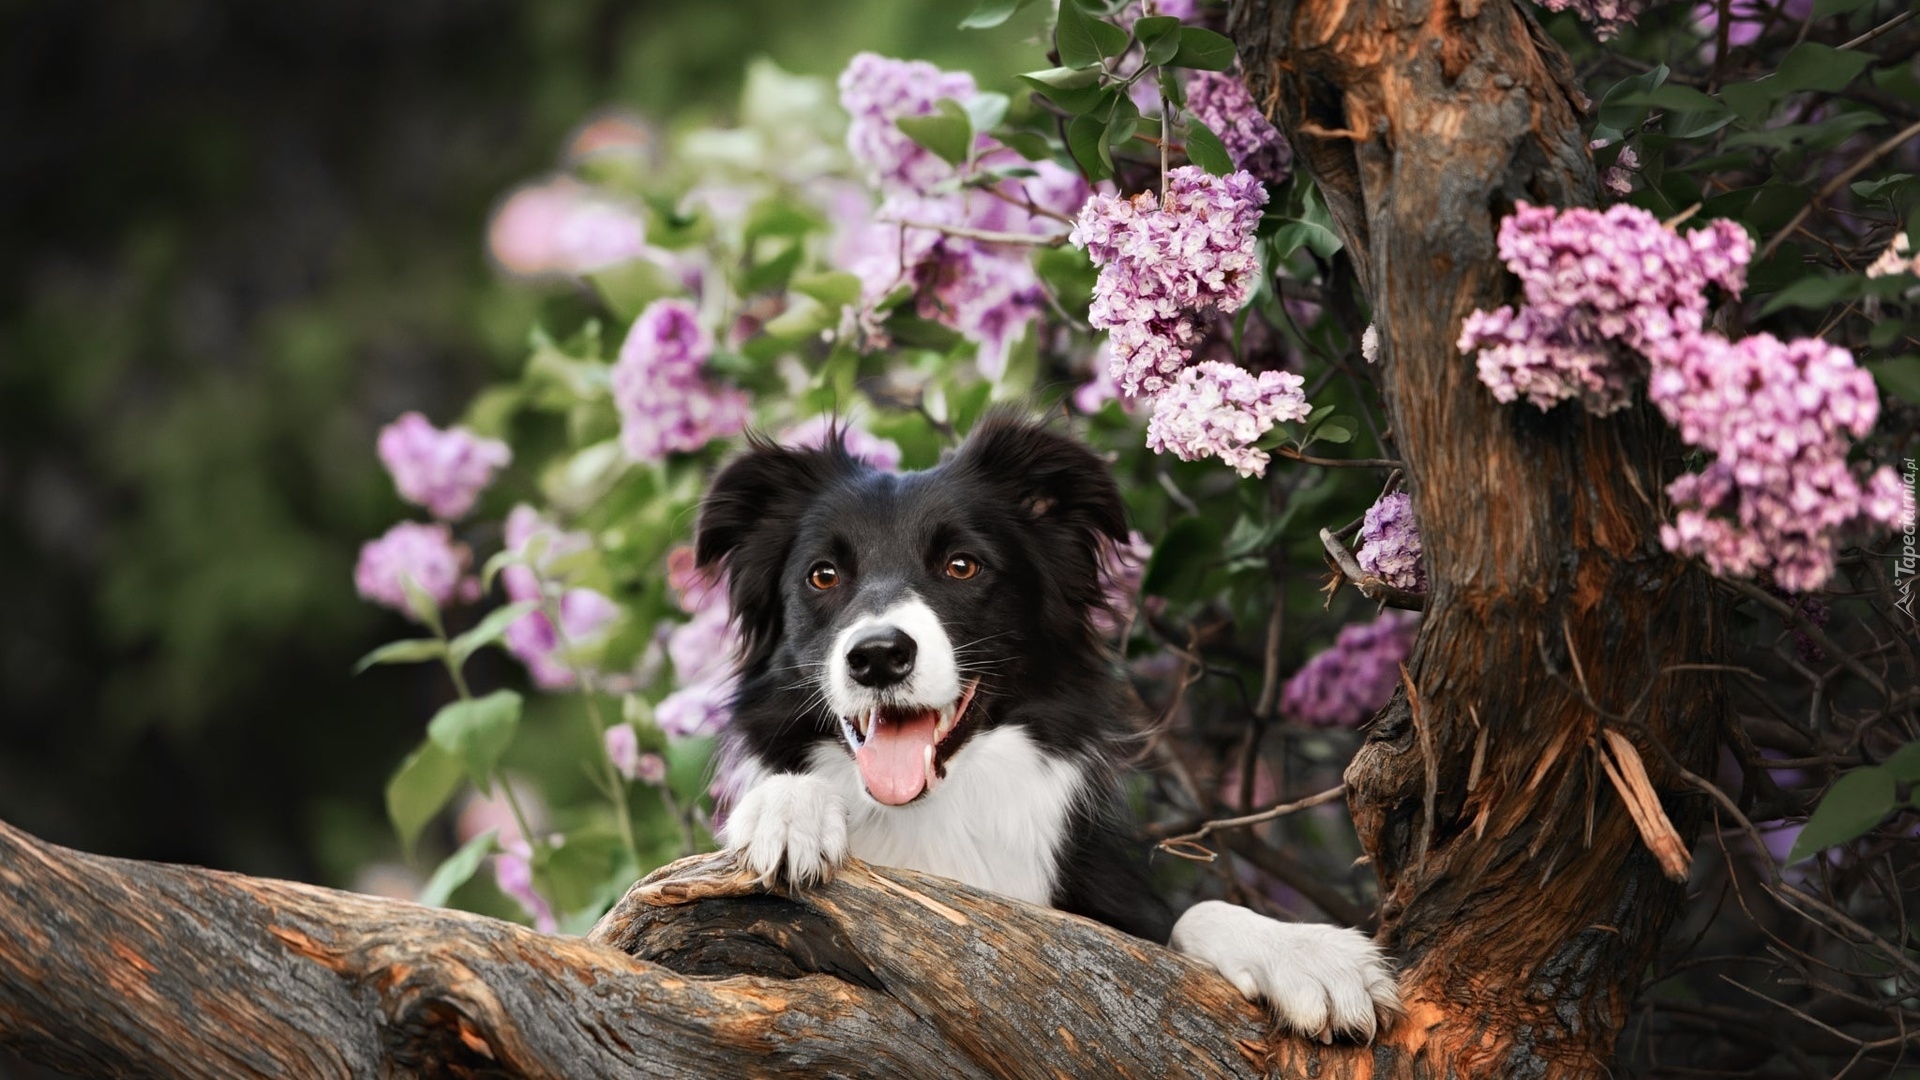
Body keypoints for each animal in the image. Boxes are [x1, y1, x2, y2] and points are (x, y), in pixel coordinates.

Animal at [691, 411, 1397, 1037]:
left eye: (962, 566)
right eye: (824, 575)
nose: (878, 657)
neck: (933, 811)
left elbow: (1188, 914)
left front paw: (1307, 955)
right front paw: (788, 809)